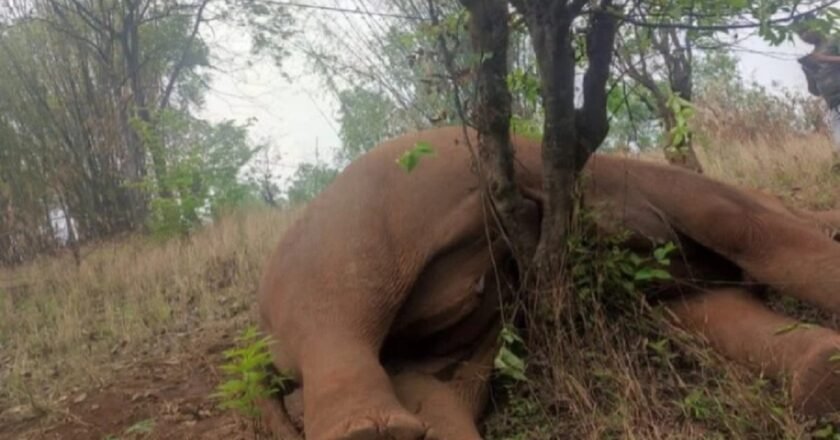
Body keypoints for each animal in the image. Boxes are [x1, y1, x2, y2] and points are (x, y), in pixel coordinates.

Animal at [257, 126, 840, 440]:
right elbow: (743, 229)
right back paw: (376, 430)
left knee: (439, 388)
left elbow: (712, 304)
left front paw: (822, 377)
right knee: (341, 315)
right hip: (347, 245)